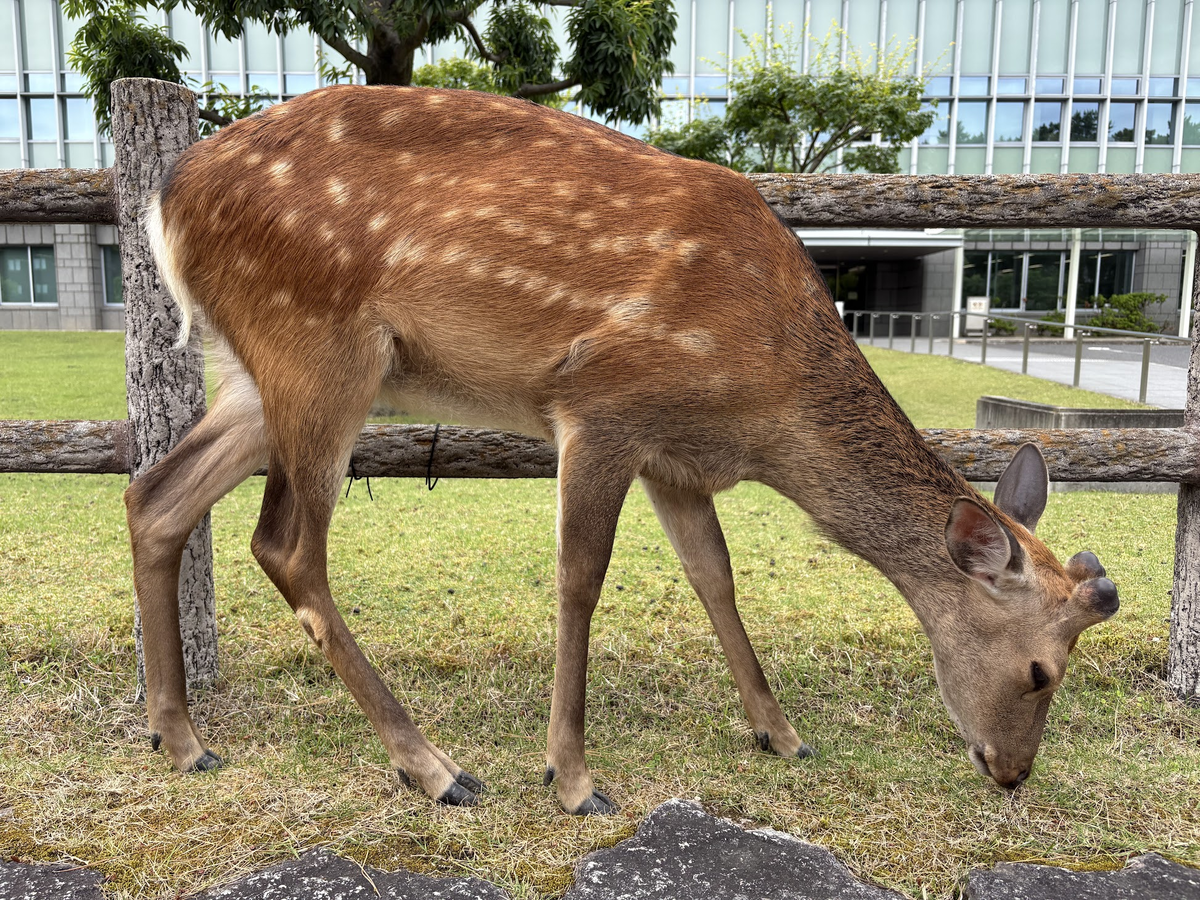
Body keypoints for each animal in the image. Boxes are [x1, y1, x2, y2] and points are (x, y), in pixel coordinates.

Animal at [128, 84, 1120, 816]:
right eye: (1041, 671)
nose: (1012, 773)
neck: (766, 404)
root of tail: (163, 199)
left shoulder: (677, 458)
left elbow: (715, 576)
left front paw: (780, 732)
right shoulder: (602, 405)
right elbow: (581, 579)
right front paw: (572, 780)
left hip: (254, 374)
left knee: (155, 495)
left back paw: (183, 741)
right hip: (320, 348)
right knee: (285, 544)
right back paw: (436, 768)